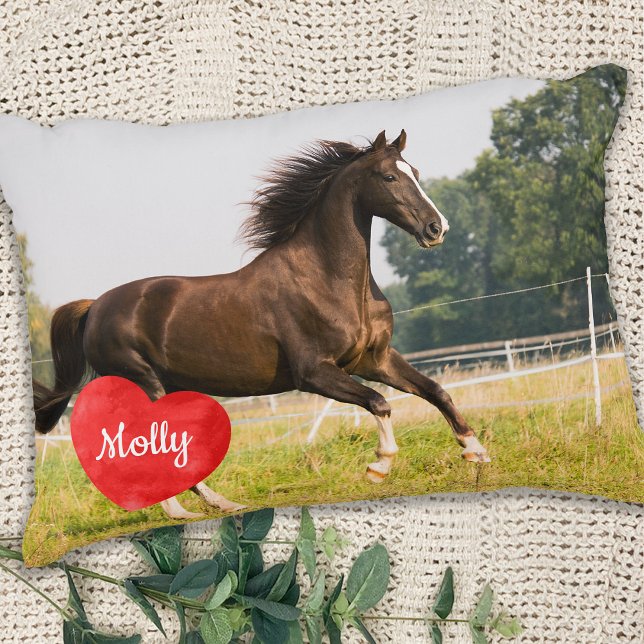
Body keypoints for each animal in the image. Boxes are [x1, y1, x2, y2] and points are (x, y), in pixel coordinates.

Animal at [33, 129, 490, 519]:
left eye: (418, 173)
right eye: (390, 176)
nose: (437, 228)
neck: (327, 278)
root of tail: (94, 307)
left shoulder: (374, 360)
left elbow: (435, 391)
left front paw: (476, 452)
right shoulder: (315, 373)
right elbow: (380, 403)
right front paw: (379, 466)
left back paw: (220, 504)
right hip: (144, 384)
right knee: (147, 449)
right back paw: (182, 511)